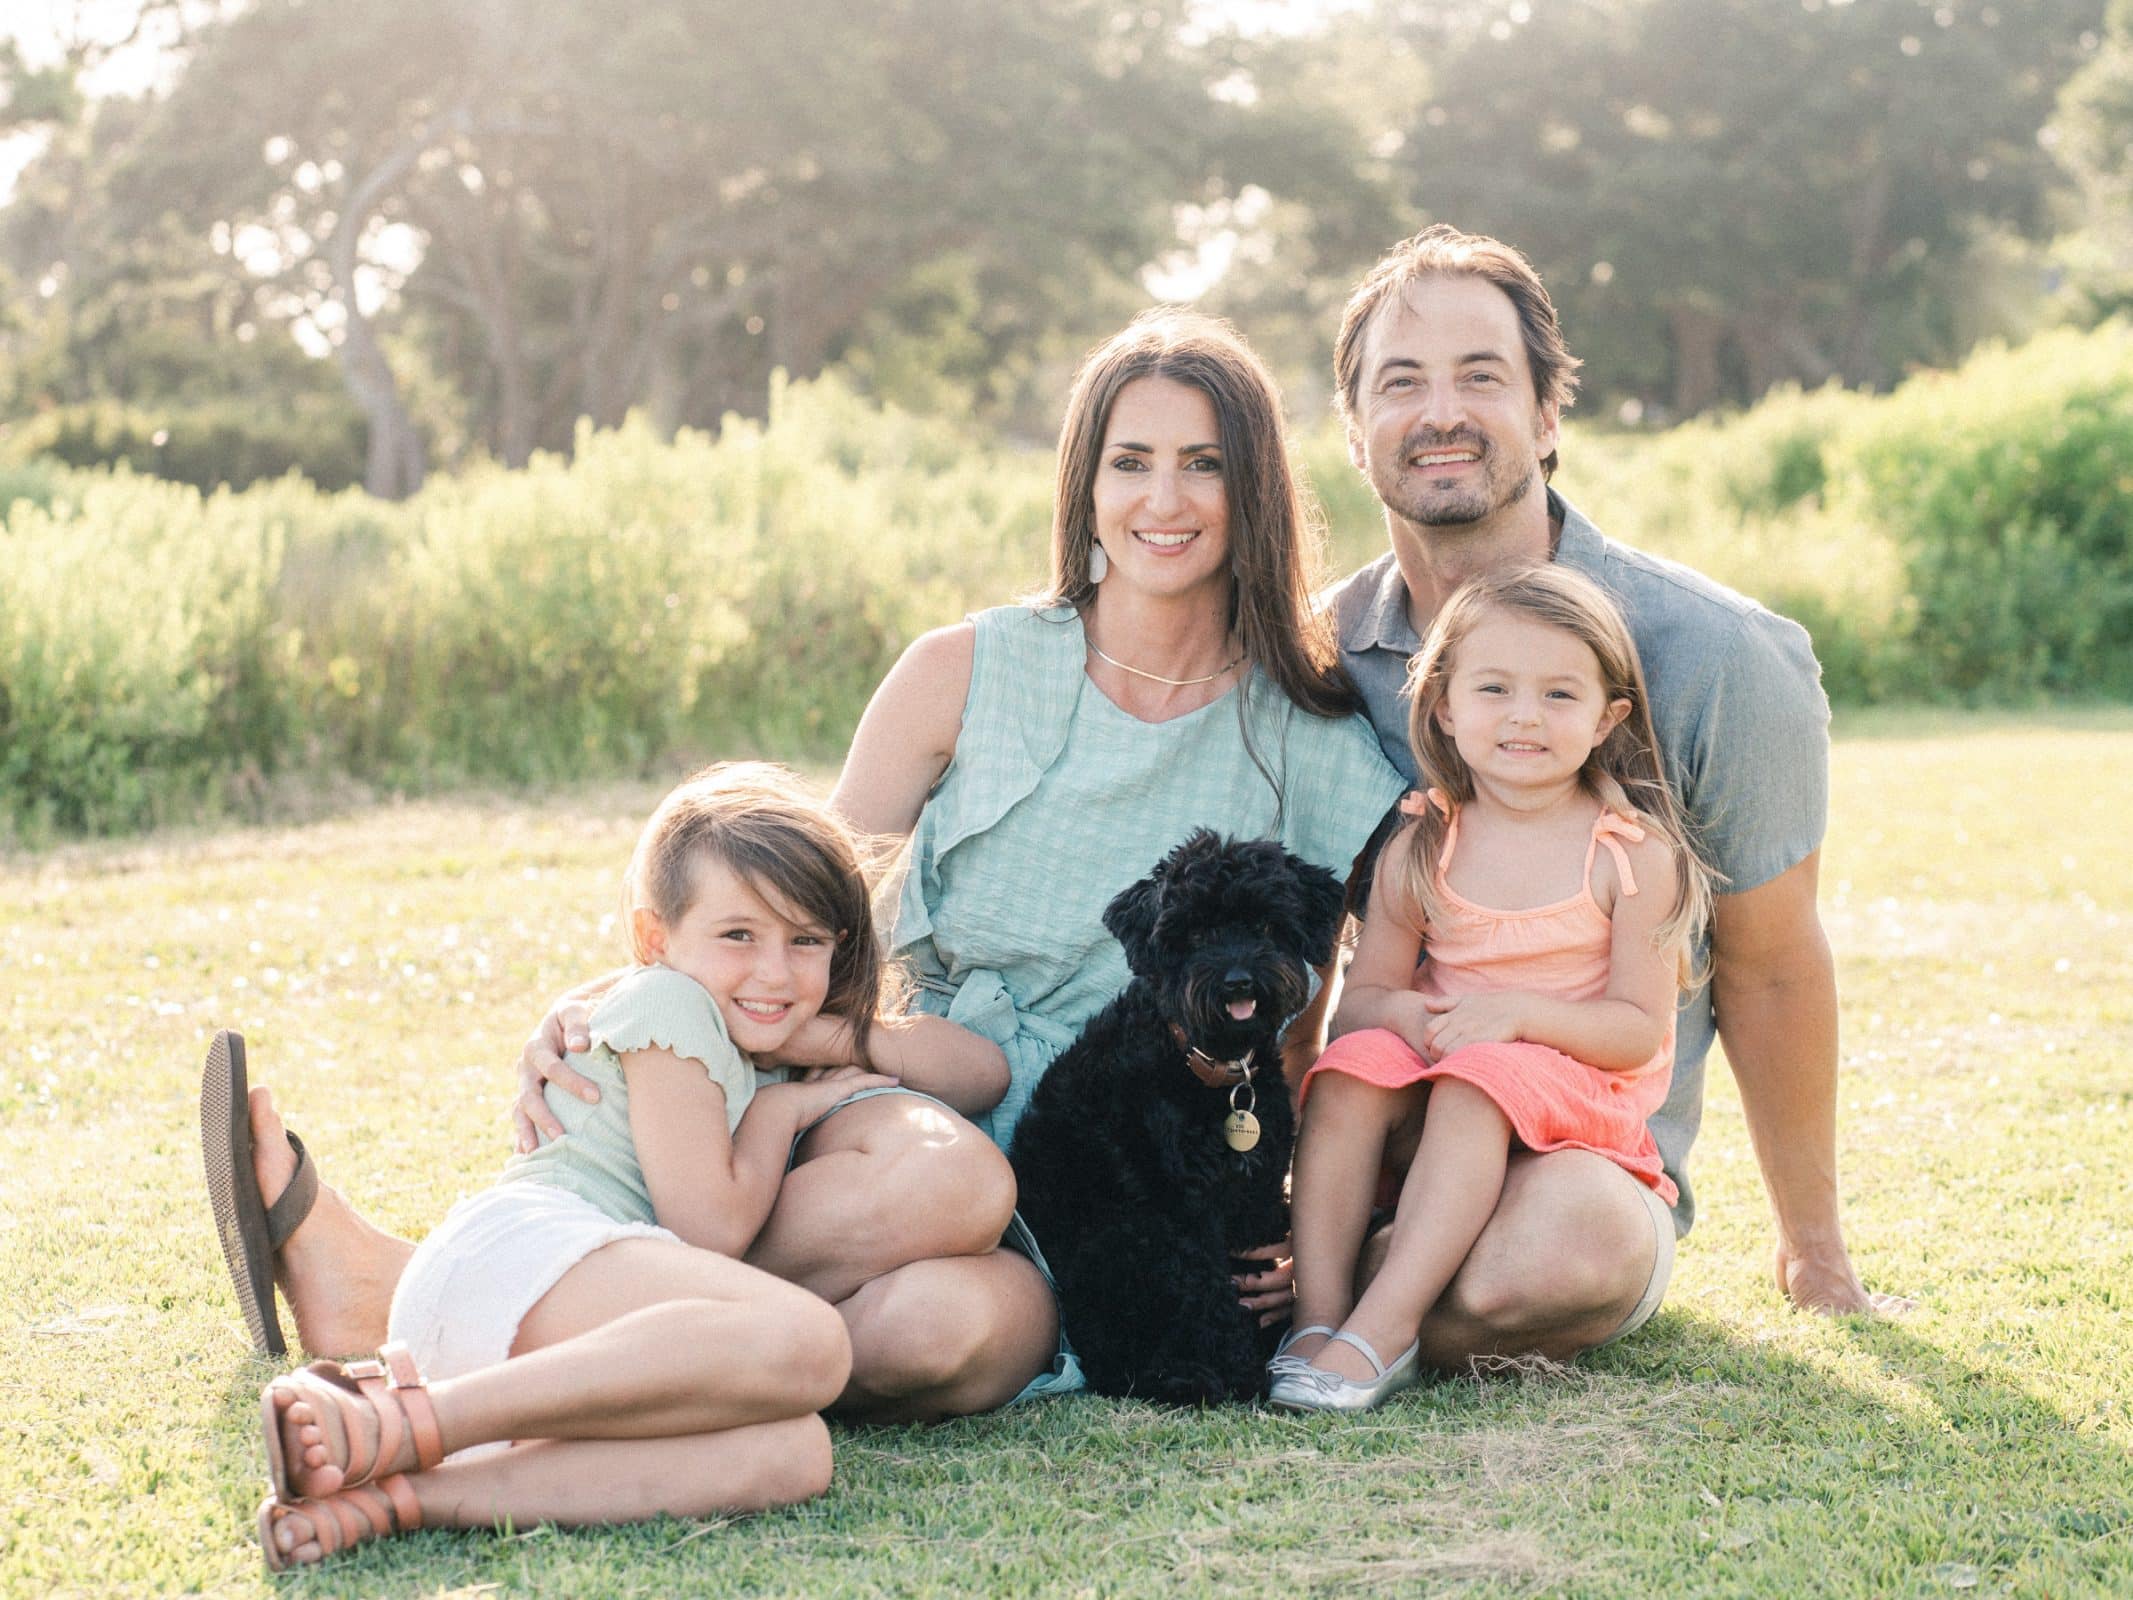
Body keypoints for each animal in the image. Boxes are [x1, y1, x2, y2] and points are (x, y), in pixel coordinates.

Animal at [1006, 832, 1339, 1408]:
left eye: (1265, 925)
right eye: (1197, 931)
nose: (1238, 981)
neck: (1208, 1072)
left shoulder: (1257, 1192)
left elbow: (1251, 1270)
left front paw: (1270, 1343)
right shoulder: (1180, 1211)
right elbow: (1207, 1292)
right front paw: (1242, 1370)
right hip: (1118, 1239)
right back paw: (1179, 1376)